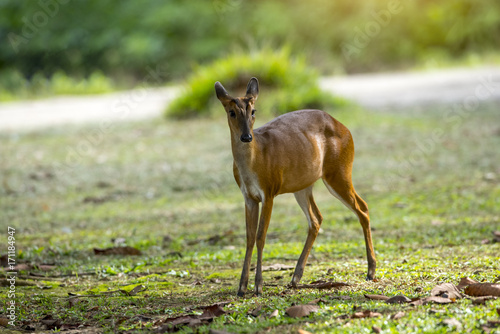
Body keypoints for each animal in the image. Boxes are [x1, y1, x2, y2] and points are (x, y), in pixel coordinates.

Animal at [215, 77, 376, 296]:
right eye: (231, 112)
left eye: (253, 111)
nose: (246, 137)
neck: (255, 161)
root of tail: (346, 129)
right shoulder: (248, 196)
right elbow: (249, 237)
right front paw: (241, 287)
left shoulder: (269, 191)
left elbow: (260, 236)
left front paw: (258, 286)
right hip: (303, 185)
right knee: (317, 218)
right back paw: (295, 277)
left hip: (339, 172)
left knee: (362, 207)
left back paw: (370, 271)